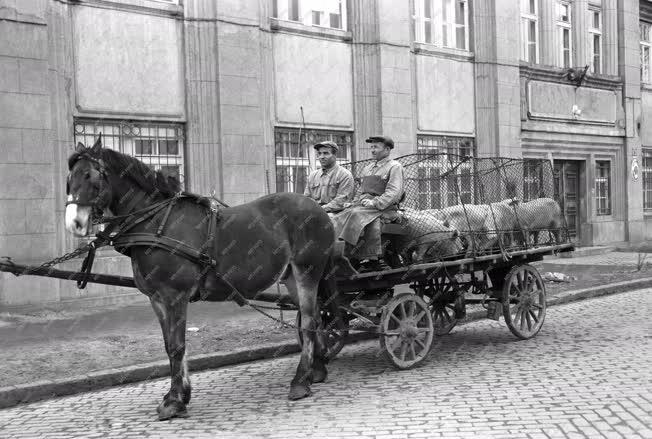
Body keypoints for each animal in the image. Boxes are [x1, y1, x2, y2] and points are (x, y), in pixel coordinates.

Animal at [65, 136, 338, 422]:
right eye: (69, 177)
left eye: (90, 175)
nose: (74, 223)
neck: (156, 222)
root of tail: (317, 208)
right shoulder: (156, 299)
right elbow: (169, 345)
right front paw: (180, 394)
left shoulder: (175, 296)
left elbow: (177, 346)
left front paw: (174, 402)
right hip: (292, 277)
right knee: (315, 318)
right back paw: (316, 369)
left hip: (308, 270)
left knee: (308, 322)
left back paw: (300, 381)